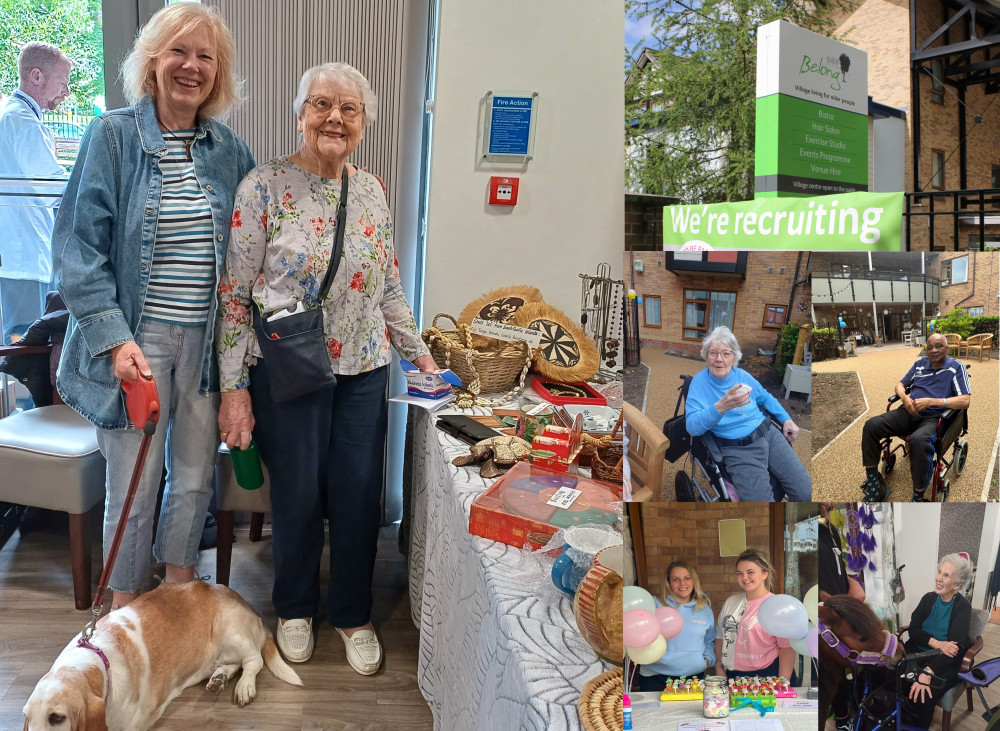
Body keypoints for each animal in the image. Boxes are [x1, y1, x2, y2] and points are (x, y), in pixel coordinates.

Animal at [23, 584, 300, 731]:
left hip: (231, 631)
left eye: (56, 718)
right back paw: (218, 679)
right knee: (230, 664)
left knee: (254, 661)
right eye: (27, 716)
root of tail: (251, 610)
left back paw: (244, 686)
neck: (99, 663)